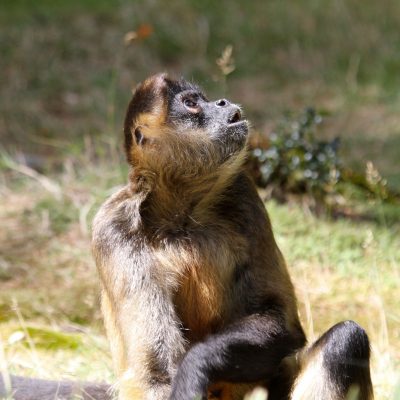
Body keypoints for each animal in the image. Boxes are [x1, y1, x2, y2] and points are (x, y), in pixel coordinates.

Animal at [90, 73, 372, 398]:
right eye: (191, 103)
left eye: (204, 98)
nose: (222, 102)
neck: (182, 216)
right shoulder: (113, 227)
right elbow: (155, 372)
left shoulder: (242, 192)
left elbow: (282, 321)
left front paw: (195, 367)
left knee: (346, 338)